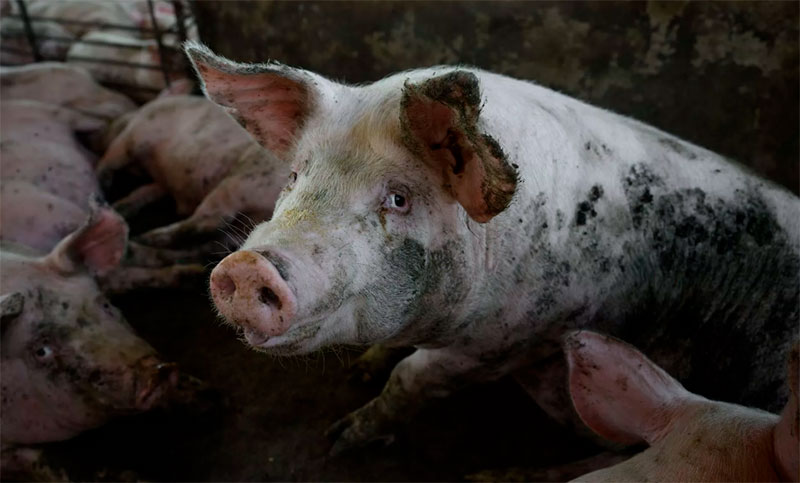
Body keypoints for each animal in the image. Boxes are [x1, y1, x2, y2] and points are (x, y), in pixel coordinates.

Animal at [96, 95, 289, 248]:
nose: (97, 135)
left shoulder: (135, 136)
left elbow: (110, 161)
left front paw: (103, 183)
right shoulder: (163, 181)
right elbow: (145, 191)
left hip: (241, 181)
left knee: (207, 221)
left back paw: (142, 238)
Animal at [185, 42, 800, 453]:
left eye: (399, 199)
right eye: (294, 177)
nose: (247, 267)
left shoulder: (513, 340)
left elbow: (412, 378)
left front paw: (339, 441)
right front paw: (360, 371)